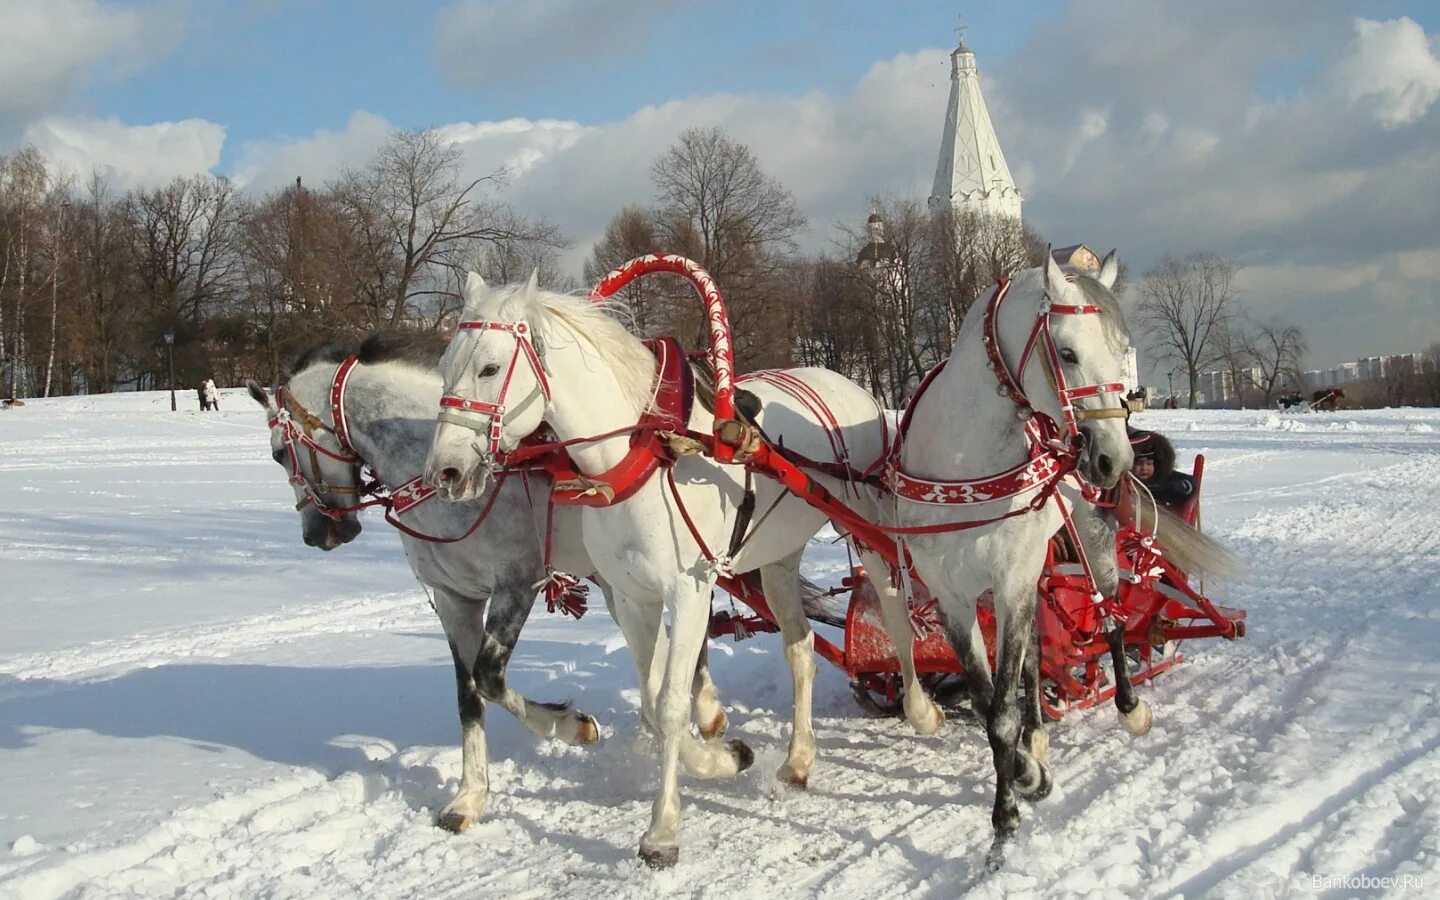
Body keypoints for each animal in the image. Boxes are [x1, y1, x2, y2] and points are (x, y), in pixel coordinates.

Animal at [244, 338, 731, 835]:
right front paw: (469, 795)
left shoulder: (516, 584)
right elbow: (468, 696)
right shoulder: (453, 599)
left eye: (278, 453)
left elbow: (490, 677)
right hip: (620, 584)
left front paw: (570, 725)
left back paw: (705, 721)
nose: (317, 534)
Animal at [420, 272, 887, 864]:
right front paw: (722, 755)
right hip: (777, 561)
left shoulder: (689, 591)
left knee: (897, 606)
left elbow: (667, 706)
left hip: (868, 530)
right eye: (444, 366)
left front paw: (663, 830)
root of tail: (848, 383)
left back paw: (922, 708)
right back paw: (799, 758)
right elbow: (653, 695)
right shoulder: (632, 596)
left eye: (489, 368)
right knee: (801, 651)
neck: (641, 453)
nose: (445, 471)